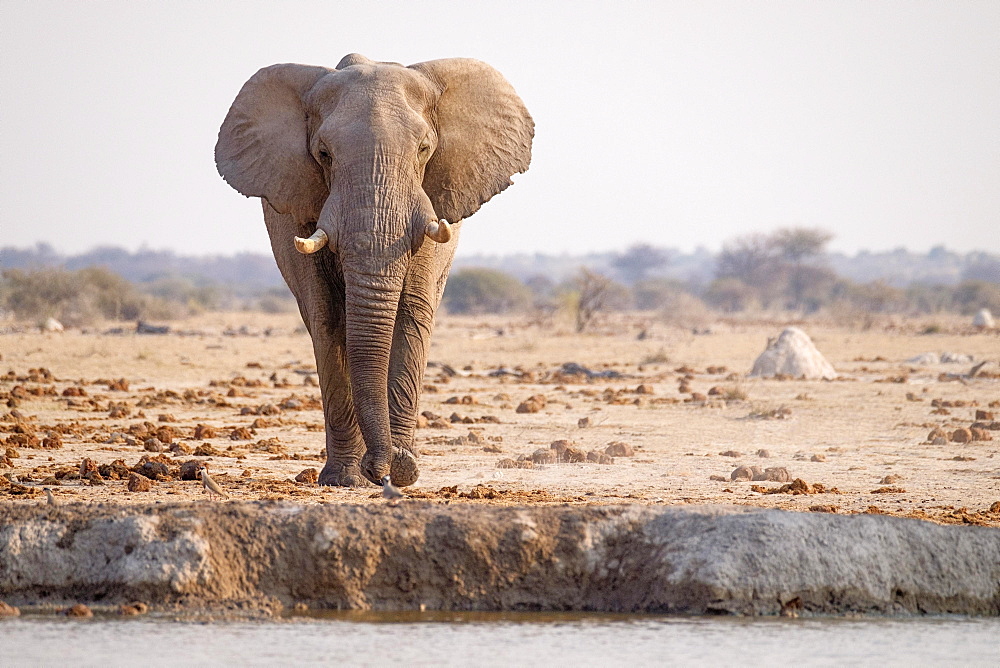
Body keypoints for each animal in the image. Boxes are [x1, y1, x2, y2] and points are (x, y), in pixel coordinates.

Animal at [216, 53, 536, 486]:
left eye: (424, 149)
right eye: (324, 154)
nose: (385, 467)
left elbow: (412, 312)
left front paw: (402, 470)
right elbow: (328, 319)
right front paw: (346, 479)